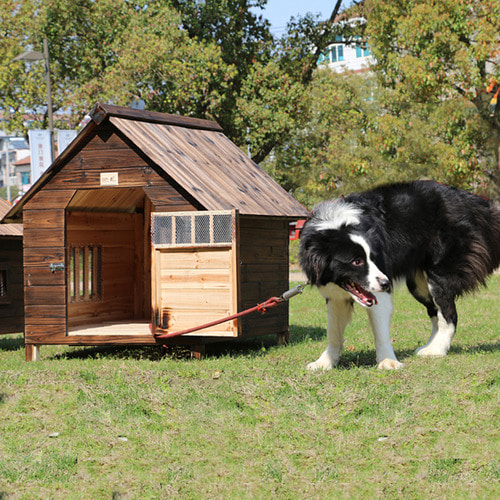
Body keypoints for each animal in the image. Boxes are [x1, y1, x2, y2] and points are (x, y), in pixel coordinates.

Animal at [298, 182, 498, 370]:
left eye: (373, 258)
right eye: (357, 261)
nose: (387, 282)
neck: (335, 225)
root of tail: (474, 202)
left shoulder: (379, 291)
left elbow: (380, 330)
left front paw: (388, 361)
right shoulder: (335, 296)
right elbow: (333, 332)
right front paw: (325, 362)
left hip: (440, 274)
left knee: (449, 315)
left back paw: (437, 349)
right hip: (419, 285)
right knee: (435, 313)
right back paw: (429, 347)